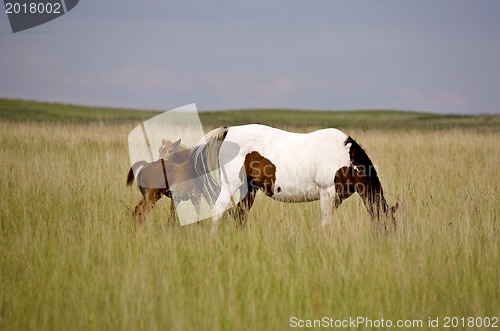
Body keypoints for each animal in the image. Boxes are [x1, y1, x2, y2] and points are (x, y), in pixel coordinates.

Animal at [190, 125, 398, 233]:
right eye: (387, 227)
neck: (345, 157)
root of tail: (229, 131)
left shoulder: (336, 198)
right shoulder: (327, 192)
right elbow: (325, 223)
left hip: (248, 190)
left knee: (240, 215)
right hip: (231, 186)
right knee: (218, 212)